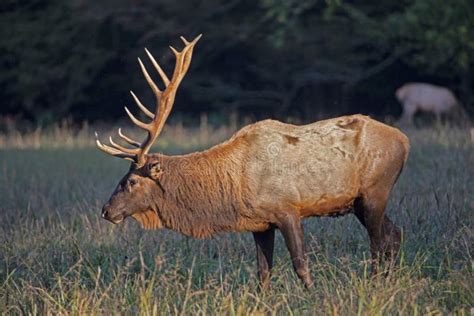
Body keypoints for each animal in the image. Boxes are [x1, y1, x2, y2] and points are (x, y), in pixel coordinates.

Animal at [95, 35, 408, 288]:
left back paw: (376, 283)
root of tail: (404, 141)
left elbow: (301, 265)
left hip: (376, 191)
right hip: (357, 202)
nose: (106, 210)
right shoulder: (261, 223)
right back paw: (388, 282)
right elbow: (263, 272)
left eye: (130, 181)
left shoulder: (287, 208)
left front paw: (315, 295)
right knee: (394, 234)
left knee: (378, 242)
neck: (232, 188)